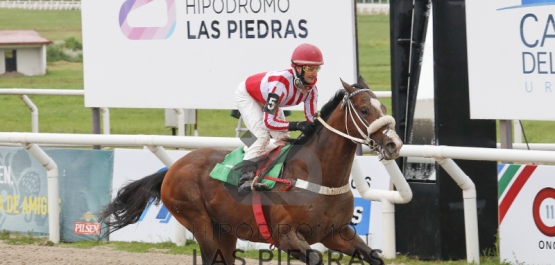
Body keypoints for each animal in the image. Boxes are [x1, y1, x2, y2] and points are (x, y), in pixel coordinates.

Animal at [100, 75, 402, 262]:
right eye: (364, 109)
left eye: (384, 106)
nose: (394, 143)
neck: (317, 177)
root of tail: (172, 169)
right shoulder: (286, 238)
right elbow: (314, 256)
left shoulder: (336, 234)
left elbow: (374, 257)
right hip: (200, 224)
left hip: (225, 231)